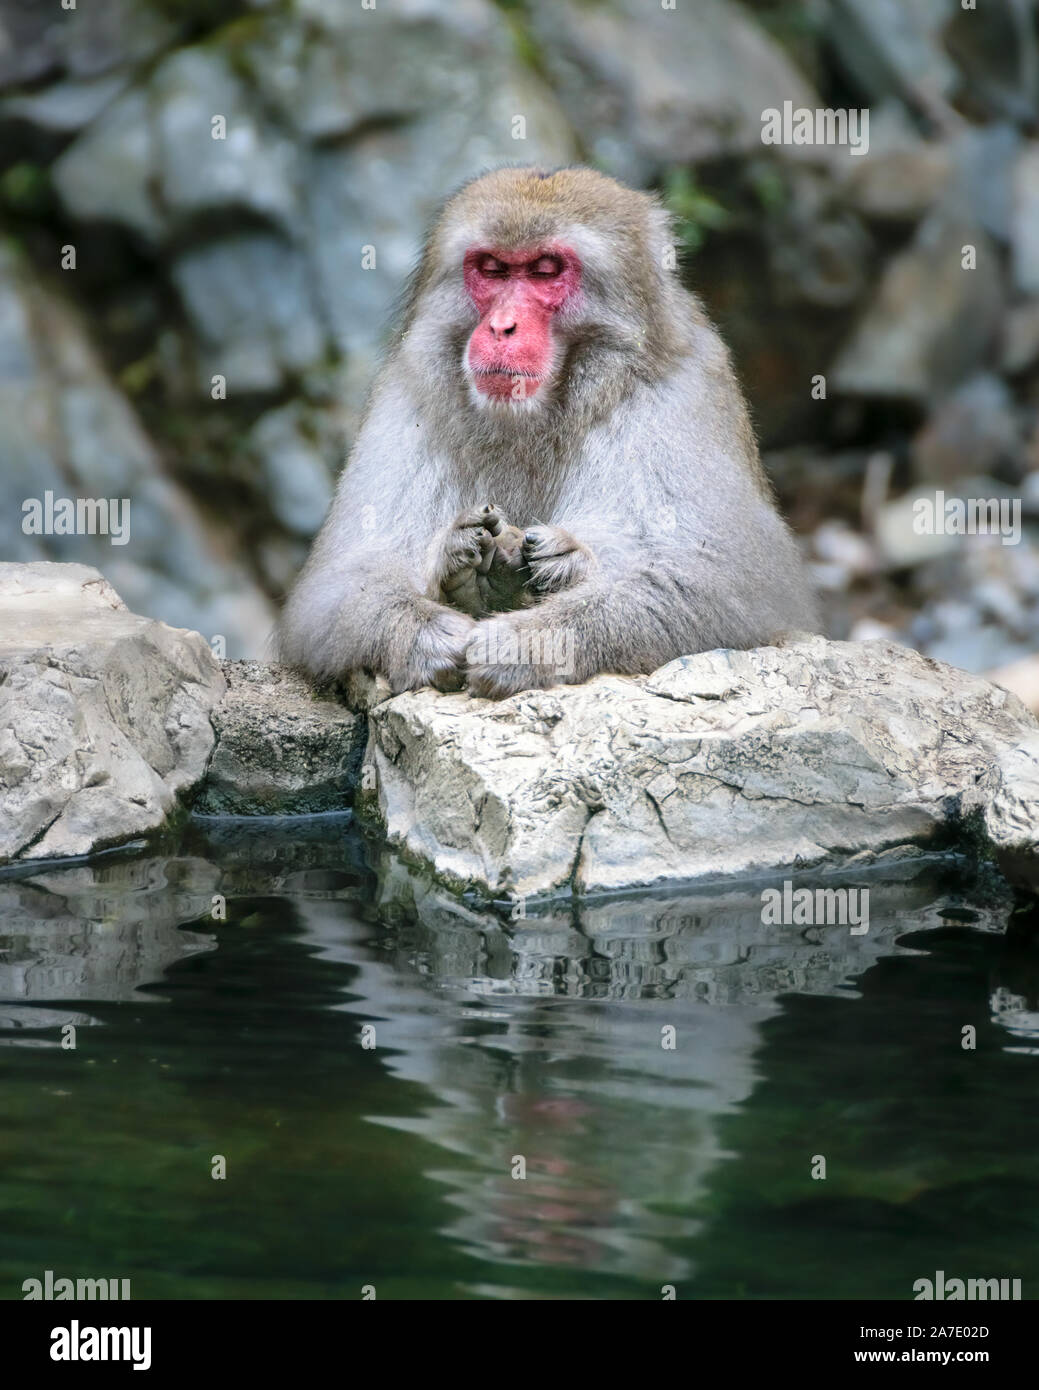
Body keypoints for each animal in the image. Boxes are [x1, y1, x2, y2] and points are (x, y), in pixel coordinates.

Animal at [278, 166, 823, 700]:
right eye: (492, 269)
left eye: (544, 270)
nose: (501, 326)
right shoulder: (409, 388)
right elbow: (340, 582)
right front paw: (429, 629)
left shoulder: (683, 388)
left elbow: (729, 580)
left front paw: (531, 638)